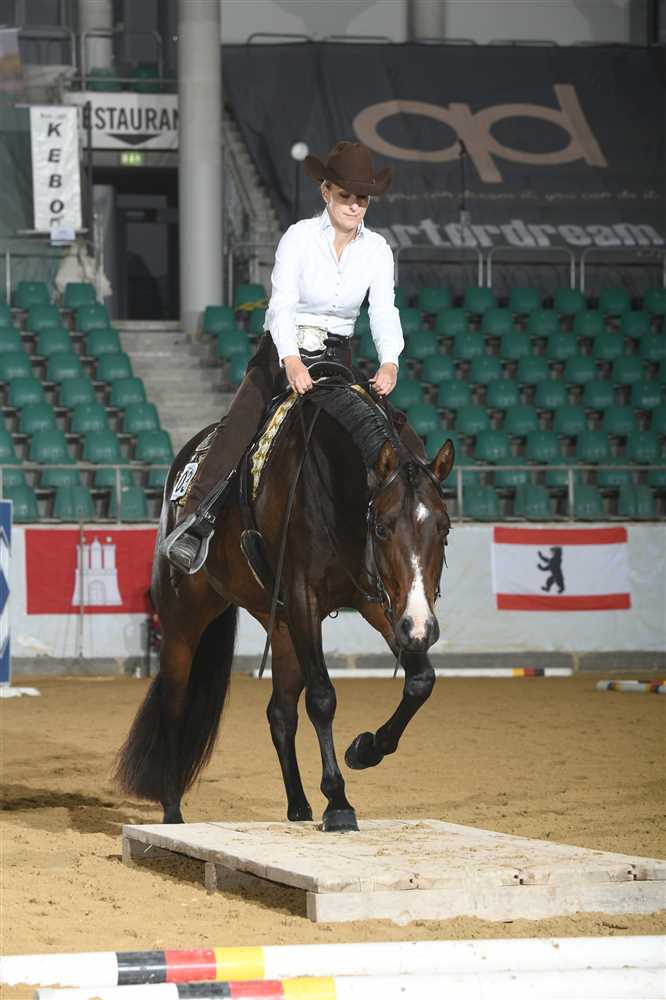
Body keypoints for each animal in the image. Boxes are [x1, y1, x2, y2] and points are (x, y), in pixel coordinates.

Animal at [115, 380, 454, 832]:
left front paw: (364, 748)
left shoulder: (381, 604)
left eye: (444, 528)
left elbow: (421, 681)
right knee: (174, 705)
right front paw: (338, 802)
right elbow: (323, 698)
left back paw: (298, 806)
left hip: (281, 626)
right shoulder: (303, 597)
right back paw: (172, 811)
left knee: (280, 712)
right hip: (183, 619)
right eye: (382, 528)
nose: (421, 627)